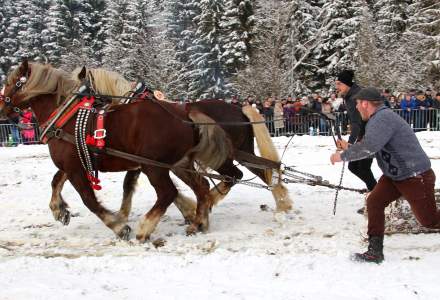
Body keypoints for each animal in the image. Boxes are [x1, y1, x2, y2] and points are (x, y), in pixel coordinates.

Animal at [0, 59, 232, 240]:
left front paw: (119, 226)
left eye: (10, 83)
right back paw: (199, 222)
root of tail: (184, 114)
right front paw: (59, 209)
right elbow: (56, 180)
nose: (1, 108)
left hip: (154, 166)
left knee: (168, 192)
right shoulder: (76, 163)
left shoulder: (76, 169)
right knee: (201, 186)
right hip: (179, 163)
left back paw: (146, 229)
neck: (66, 116)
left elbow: (89, 200)